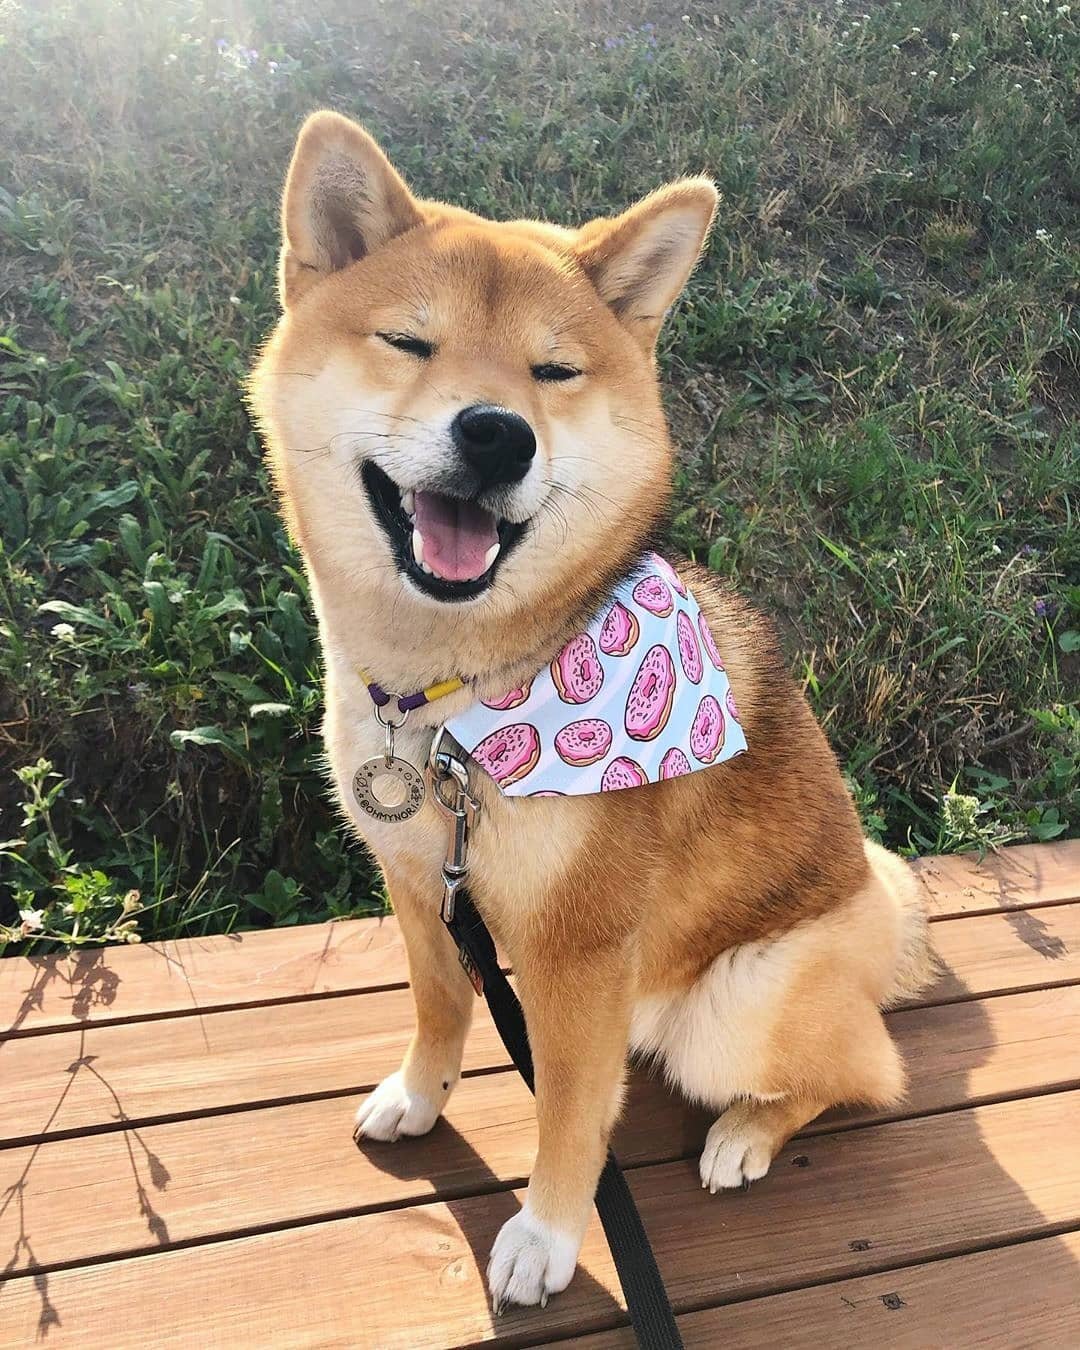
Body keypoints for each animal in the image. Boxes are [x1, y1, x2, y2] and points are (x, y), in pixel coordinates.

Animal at [248, 110, 934, 1312]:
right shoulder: (422, 887)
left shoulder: (582, 953)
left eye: (552, 370)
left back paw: (746, 1135)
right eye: (409, 343)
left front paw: (550, 1236)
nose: (496, 433)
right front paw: (420, 1095)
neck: (448, 706)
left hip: (733, 1002)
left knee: (863, 1075)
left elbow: (570, 1106)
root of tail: (870, 915)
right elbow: (440, 1008)